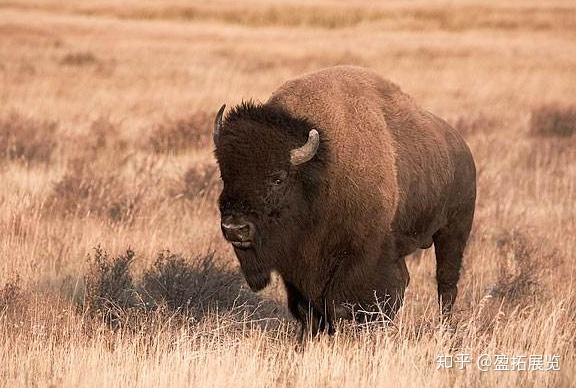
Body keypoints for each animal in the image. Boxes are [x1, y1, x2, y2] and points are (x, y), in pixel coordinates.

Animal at [214, 65, 474, 338]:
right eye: (224, 174)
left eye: (278, 178)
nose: (235, 228)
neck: (320, 169)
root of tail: (462, 147)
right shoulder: (295, 265)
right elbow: (305, 308)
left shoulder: (361, 255)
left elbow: (341, 302)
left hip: (453, 230)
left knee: (446, 282)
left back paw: (444, 326)